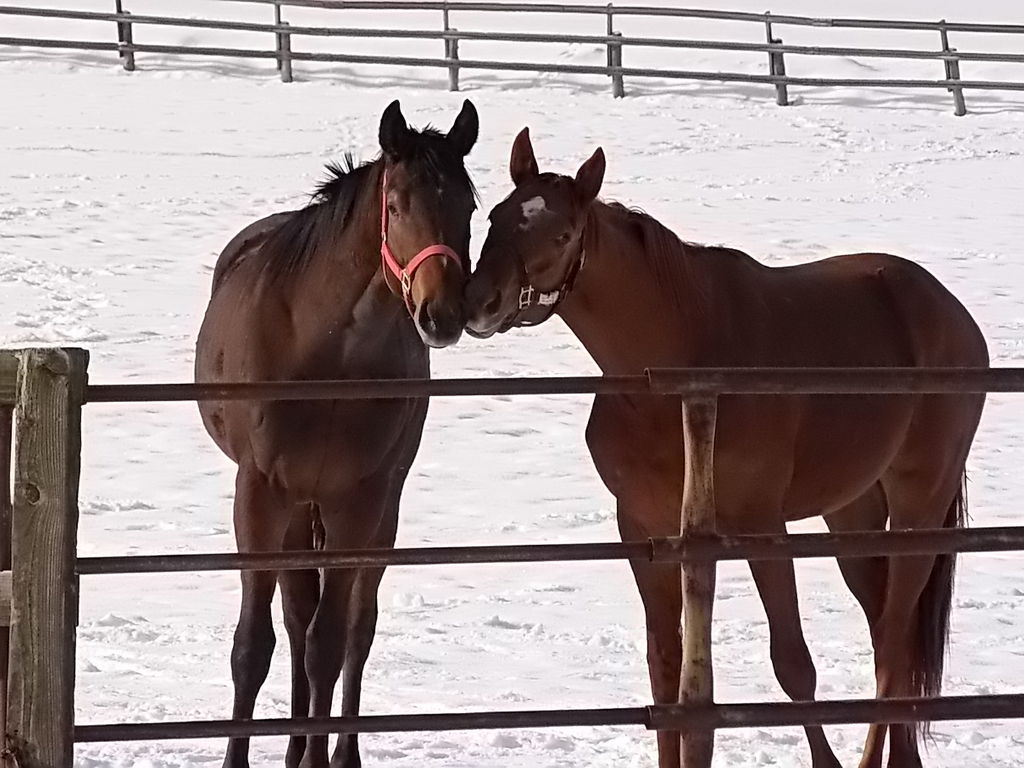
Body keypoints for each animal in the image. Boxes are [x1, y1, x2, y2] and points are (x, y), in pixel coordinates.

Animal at [194, 100, 479, 768]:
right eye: (395, 204)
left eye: (470, 206)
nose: (442, 315)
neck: (325, 352)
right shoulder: (261, 491)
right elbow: (254, 645)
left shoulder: (359, 499)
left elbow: (331, 642)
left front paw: (320, 759)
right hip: (297, 505)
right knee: (297, 618)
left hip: (371, 507)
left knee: (352, 627)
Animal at [468, 129, 987, 768]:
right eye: (496, 215)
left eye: (562, 234)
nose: (477, 302)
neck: (676, 360)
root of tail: (953, 316)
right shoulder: (643, 530)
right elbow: (665, 671)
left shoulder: (761, 529)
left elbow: (793, 666)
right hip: (855, 514)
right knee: (890, 637)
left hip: (919, 508)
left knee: (894, 647)